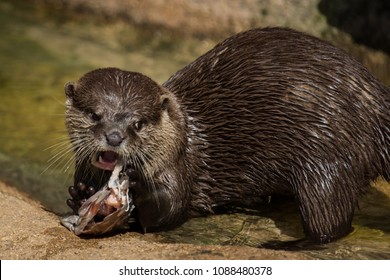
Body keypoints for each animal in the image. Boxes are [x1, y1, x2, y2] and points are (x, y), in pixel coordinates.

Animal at [64, 27, 390, 244]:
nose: (114, 137)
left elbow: (168, 212)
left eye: (138, 123)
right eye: (94, 115)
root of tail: (375, 99)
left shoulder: (178, 167)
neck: (184, 134)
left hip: (326, 158)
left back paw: (288, 244)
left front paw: (136, 179)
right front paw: (79, 194)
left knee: (332, 223)